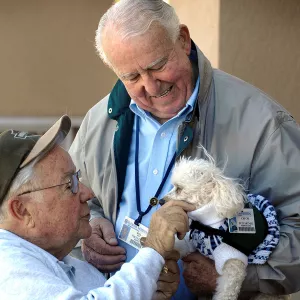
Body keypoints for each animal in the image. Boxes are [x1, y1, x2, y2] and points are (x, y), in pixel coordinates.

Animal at [165, 155, 288, 300]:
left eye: (179, 188)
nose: (160, 201)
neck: (209, 224)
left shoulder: (232, 262)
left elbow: (226, 290)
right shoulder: (193, 241)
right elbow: (178, 246)